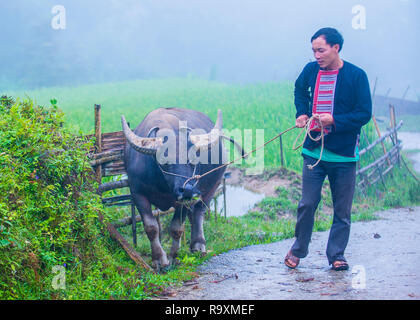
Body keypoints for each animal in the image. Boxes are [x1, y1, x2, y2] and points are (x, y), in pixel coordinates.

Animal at [120, 108, 243, 270]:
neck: (162, 183)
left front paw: (173, 257)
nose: (188, 190)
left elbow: (176, 228)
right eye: (164, 162)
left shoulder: (183, 201)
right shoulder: (137, 193)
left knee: (198, 213)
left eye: (193, 159)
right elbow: (151, 227)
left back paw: (198, 246)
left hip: (213, 186)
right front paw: (159, 259)